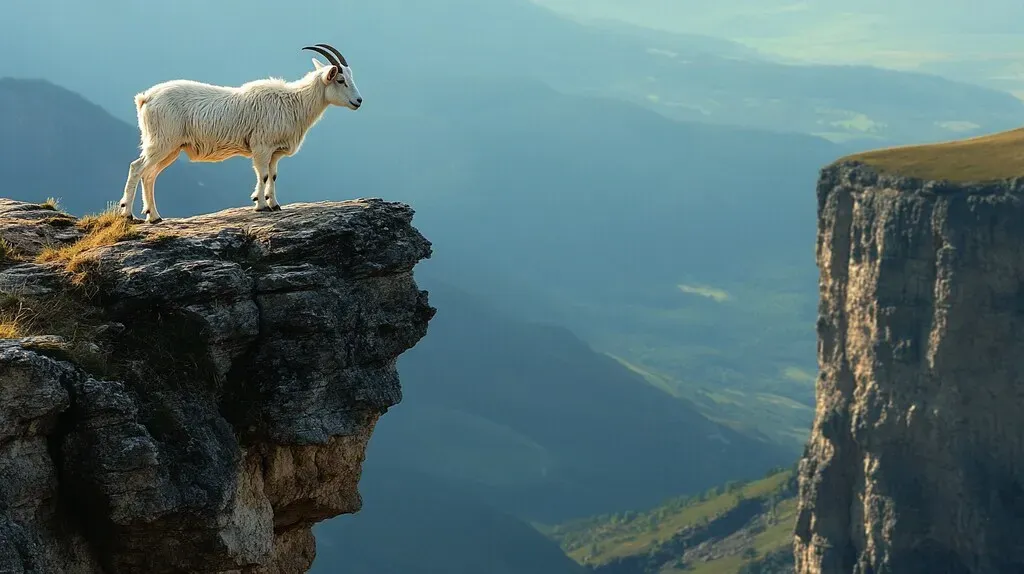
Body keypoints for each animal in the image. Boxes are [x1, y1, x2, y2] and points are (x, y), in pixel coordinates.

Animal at [119, 43, 362, 223]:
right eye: (340, 80)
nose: (358, 101)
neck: (294, 102)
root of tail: (145, 98)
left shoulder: (274, 152)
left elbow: (273, 175)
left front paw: (274, 204)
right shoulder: (261, 146)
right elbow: (262, 174)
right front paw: (260, 205)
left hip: (171, 148)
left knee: (149, 175)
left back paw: (154, 217)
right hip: (162, 141)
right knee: (137, 168)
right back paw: (128, 214)